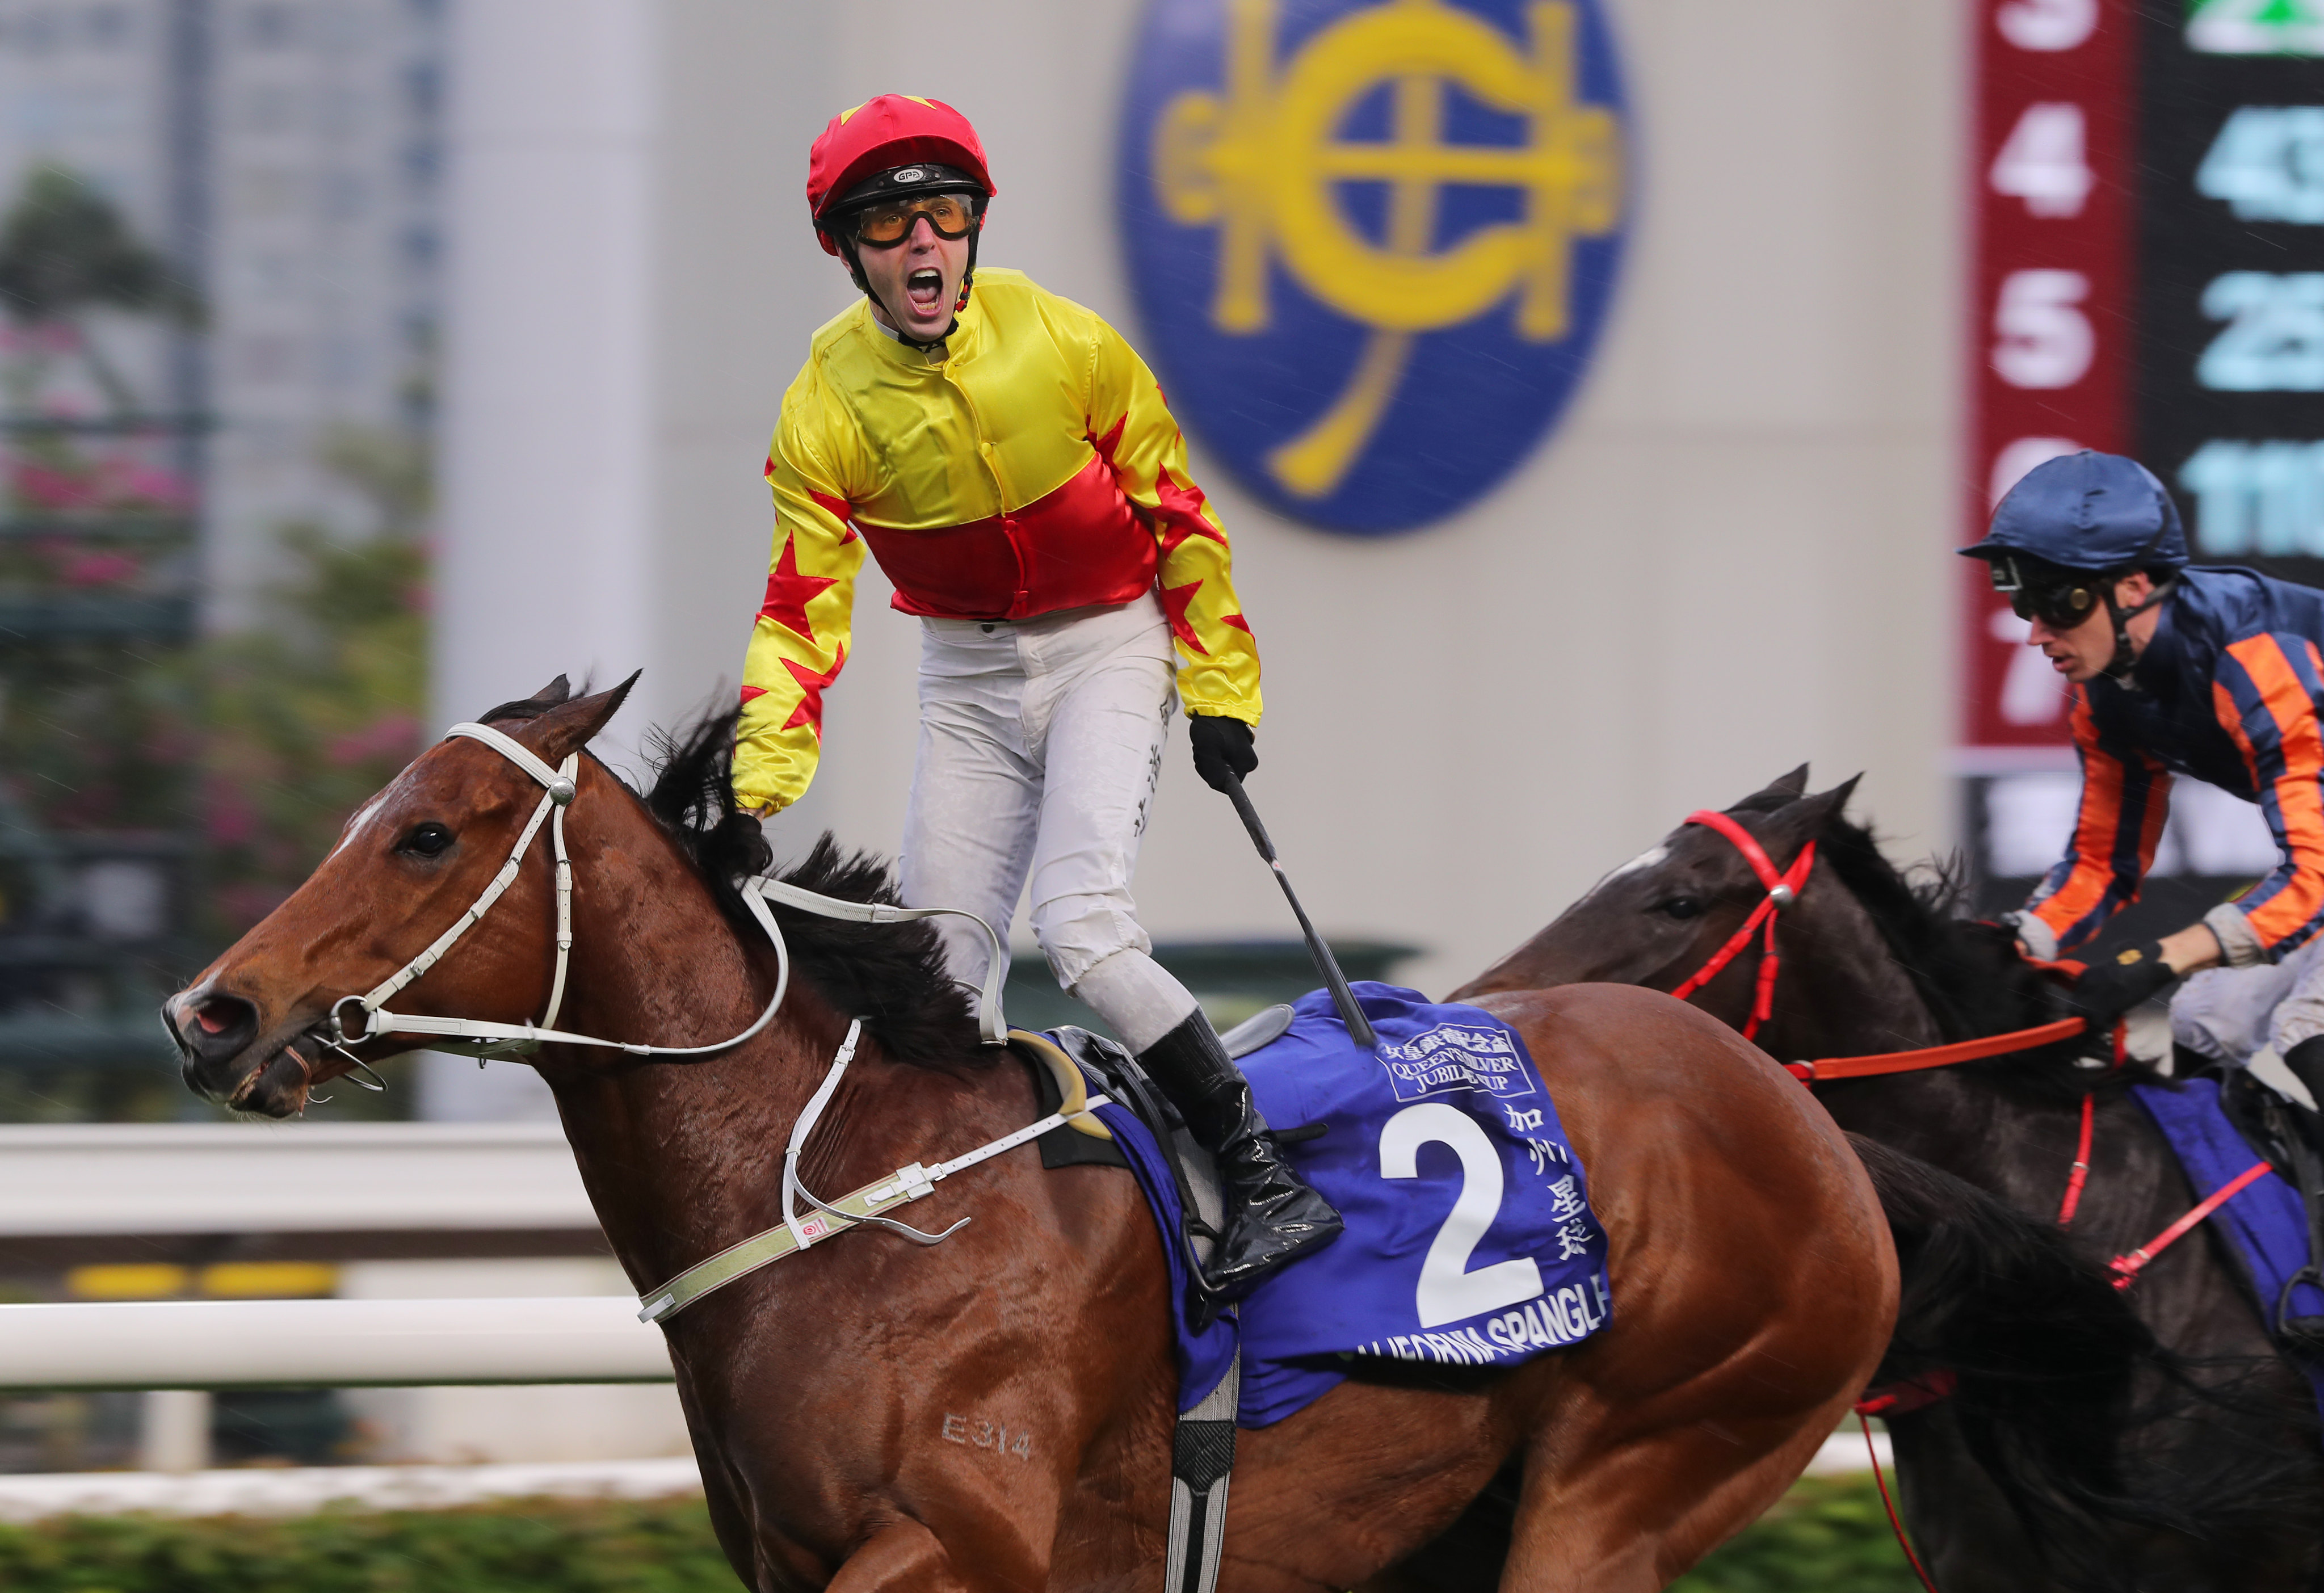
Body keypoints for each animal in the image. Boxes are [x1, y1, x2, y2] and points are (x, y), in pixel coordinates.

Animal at [159, 679, 2129, 1581]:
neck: (855, 1202)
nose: (212, 1011)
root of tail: (1805, 1124)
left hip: (1637, 1466)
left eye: (428, 832)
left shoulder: (962, 1540)